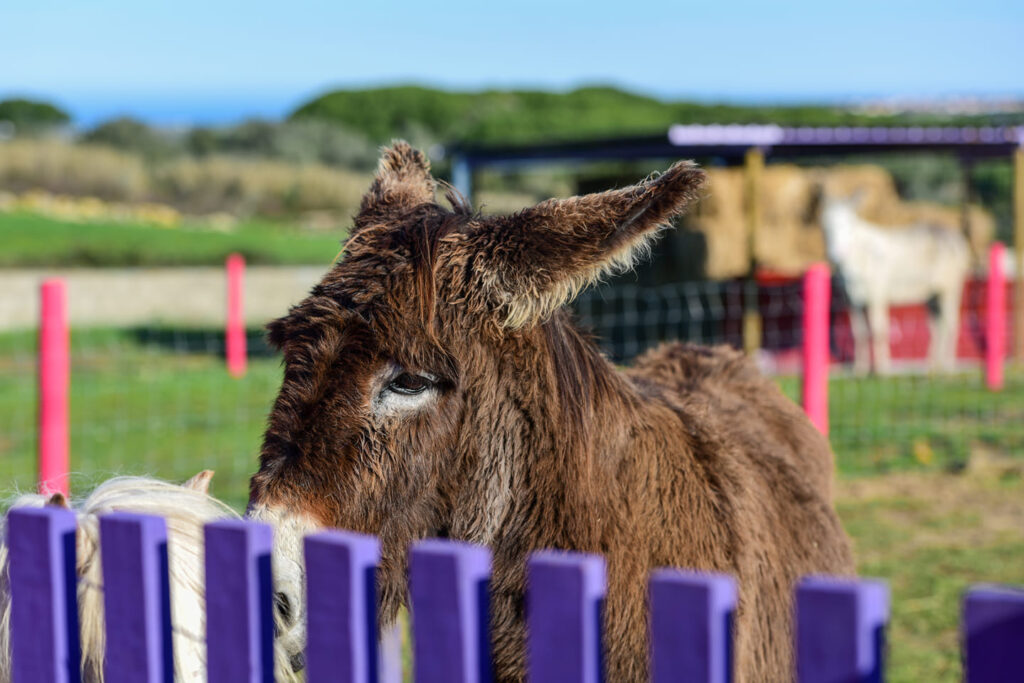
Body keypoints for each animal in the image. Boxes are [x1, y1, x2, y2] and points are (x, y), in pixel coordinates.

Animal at [819, 192, 970, 374]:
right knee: (937, 326)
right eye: (825, 225)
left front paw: (881, 368)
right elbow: (859, 333)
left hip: (950, 288)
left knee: (951, 323)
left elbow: (878, 329)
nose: (836, 254)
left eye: (848, 224)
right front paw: (860, 369)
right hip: (932, 294)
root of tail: (958, 241)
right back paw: (933, 366)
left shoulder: (877, 294)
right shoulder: (851, 300)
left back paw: (948, 366)